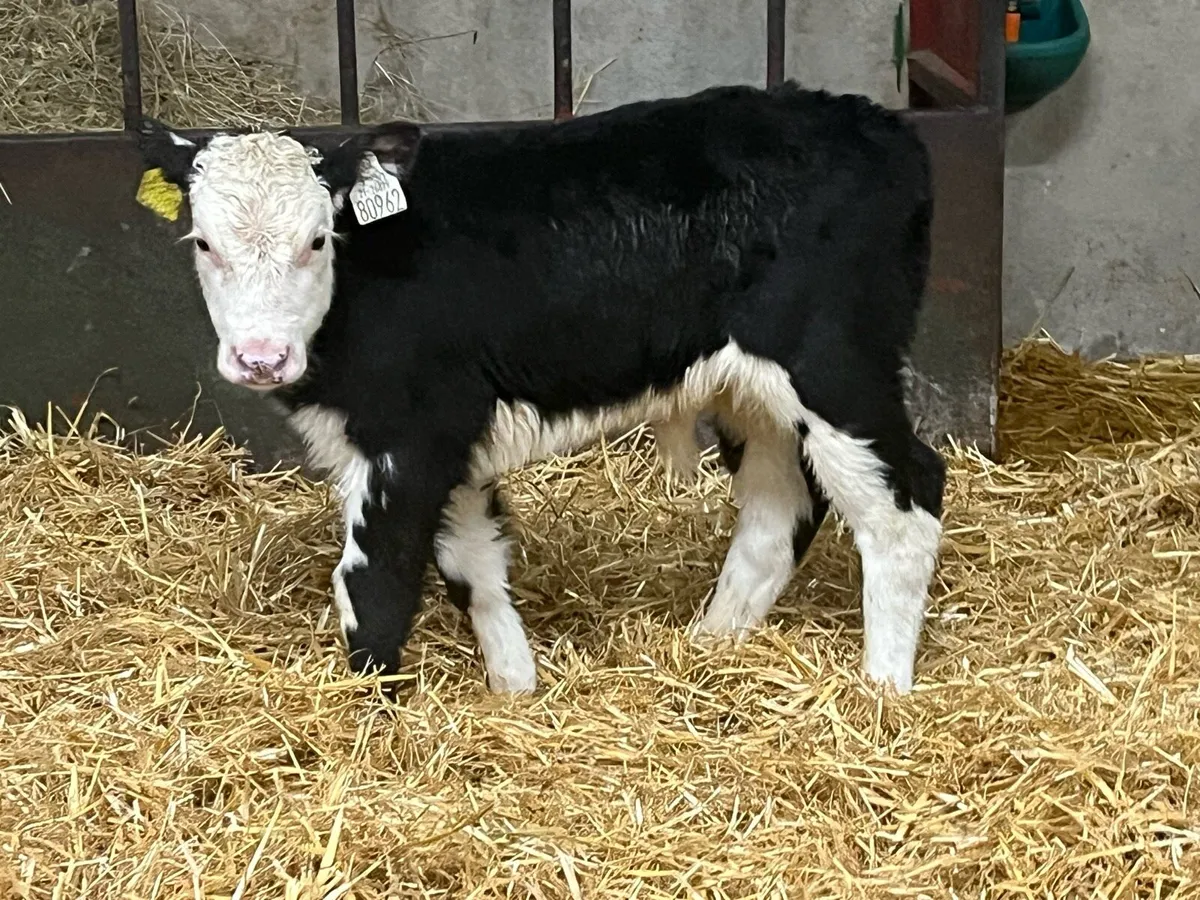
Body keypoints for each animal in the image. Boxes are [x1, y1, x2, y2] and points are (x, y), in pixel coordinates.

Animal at [138, 81, 945, 696]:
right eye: (204, 243)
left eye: (317, 240)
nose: (261, 358)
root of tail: (872, 122)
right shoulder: (453, 441)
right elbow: (476, 568)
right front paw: (514, 691)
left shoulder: (414, 432)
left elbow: (375, 581)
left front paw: (372, 718)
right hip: (754, 393)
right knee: (779, 510)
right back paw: (709, 644)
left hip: (836, 367)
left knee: (906, 501)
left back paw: (883, 689)